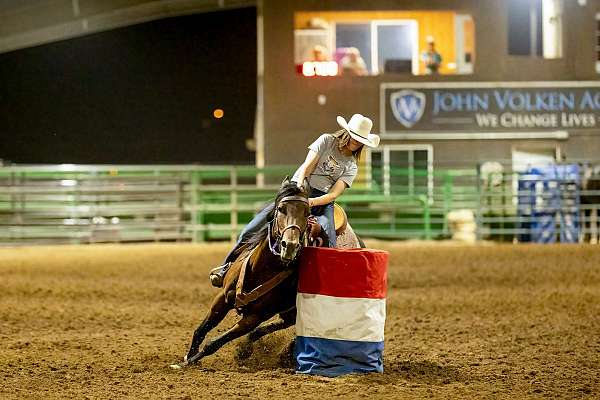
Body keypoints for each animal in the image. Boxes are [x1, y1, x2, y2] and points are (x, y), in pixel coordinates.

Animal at [169, 178, 310, 368]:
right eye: (281, 208)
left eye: (307, 212)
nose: (290, 245)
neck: (262, 269)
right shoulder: (222, 299)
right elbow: (201, 330)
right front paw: (187, 357)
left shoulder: (253, 318)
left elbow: (214, 343)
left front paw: (187, 363)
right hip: (288, 312)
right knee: (280, 323)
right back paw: (249, 348)